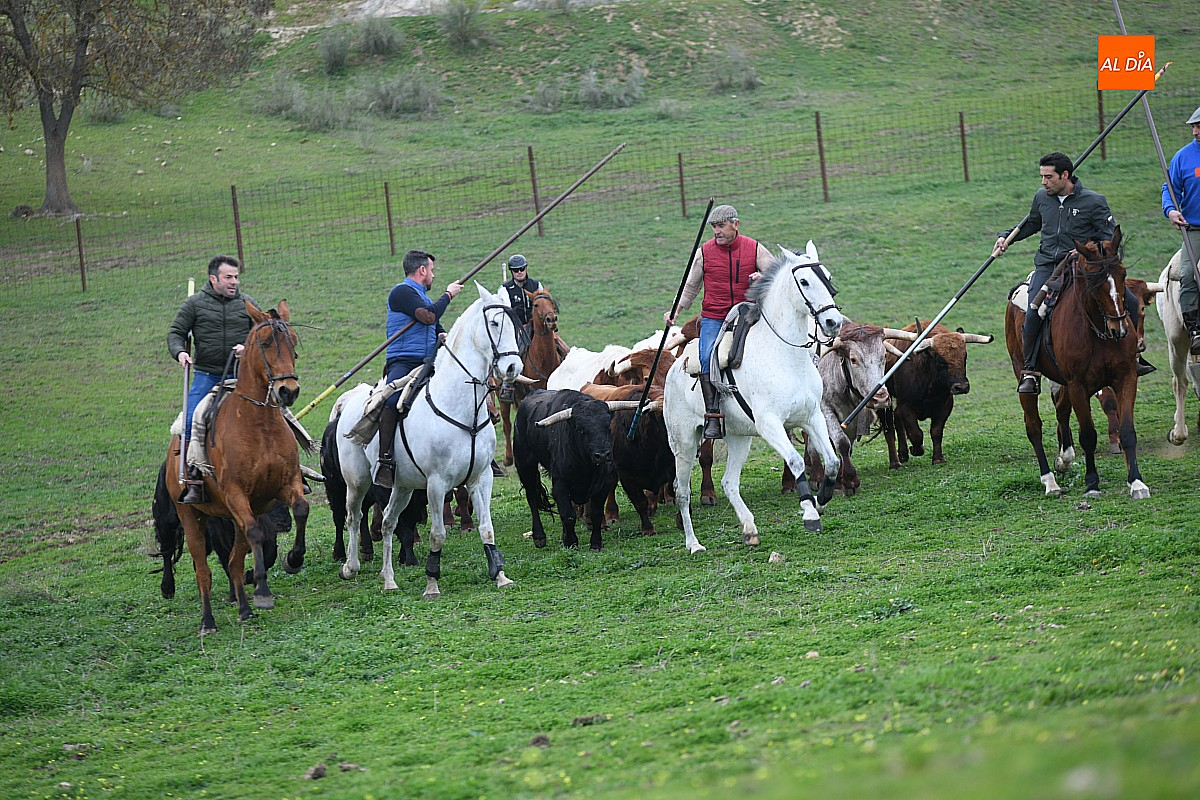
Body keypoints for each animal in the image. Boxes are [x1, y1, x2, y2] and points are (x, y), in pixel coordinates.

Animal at [164, 300, 310, 635]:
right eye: (266, 342)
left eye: (293, 342)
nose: (288, 391)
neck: (258, 425)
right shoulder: (236, 494)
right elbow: (255, 534)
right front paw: (263, 592)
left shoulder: (285, 485)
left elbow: (301, 510)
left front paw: (293, 559)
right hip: (191, 516)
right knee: (203, 570)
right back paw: (208, 621)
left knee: (233, 562)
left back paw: (244, 609)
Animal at [335, 284, 524, 599]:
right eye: (495, 323)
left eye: (515, 324)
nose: (513, 367)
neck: (463, 410)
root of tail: (351, 400)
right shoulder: (437, 484)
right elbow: (438, 534)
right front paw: (432, 583)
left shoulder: (481, 478)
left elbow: (487, 527)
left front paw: (500, 575)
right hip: (357, 481)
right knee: (354, 517)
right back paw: (350, 567)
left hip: (402, 486)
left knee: (388, 522)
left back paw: (388, 578)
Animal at [500, 288, 562, 466]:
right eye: (536, 304)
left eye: (550, 301)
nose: (551, 319)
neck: (543, 359)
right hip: (502, 397)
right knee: (506, 424)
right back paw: (509, 458)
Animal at [663, 242, 845, 554]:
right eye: (805, 281)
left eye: (828, 276)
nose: (833, 322)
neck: (785, 355)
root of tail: (673, 370)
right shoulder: (770, 424)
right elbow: (796, 462)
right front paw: (810, 513)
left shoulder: (812, 417)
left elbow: (833, 461)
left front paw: (821, 500)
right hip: (684, 445)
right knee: (682, 491)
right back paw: (693, 543)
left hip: (739, 438)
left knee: (729, 482)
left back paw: (750, 530)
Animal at [1004, 227, 1149, 499]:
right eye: (1093, 280)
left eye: (1122, 273)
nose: (1119, 328)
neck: (1098, 332)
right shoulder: (1078, 385)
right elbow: (1088, 435)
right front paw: (1092, 484)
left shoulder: (1125, 377)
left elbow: (1127, 431)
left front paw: (1136, 482)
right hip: (1024, 372)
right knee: (1034, 426)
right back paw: (1050, 481)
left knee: (1061, 410)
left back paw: (1064, 459)